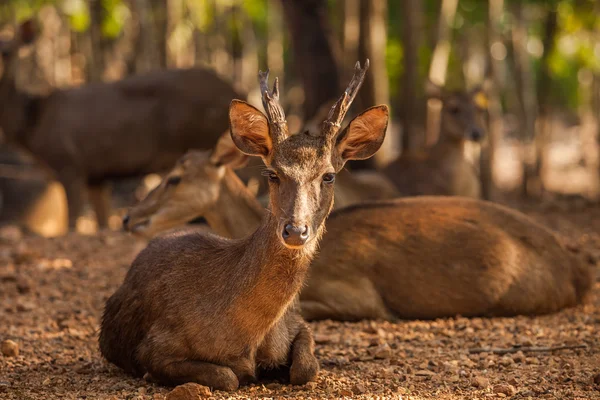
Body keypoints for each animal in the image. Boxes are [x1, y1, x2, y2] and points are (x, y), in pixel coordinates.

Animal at [1, 20, 244, 230]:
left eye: (8, 52)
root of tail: (234, 90)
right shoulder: (95, 175)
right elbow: (101, 222)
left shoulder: (69, 164)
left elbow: (72, 224)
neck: (32, 127)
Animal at [98, 61, 390, 390]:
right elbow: (226, 376)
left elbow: (306, 368)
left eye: (328, 175)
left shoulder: (297, 321)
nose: (295, 230)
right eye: (273, 174)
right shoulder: (155, 345)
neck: (247, 334)